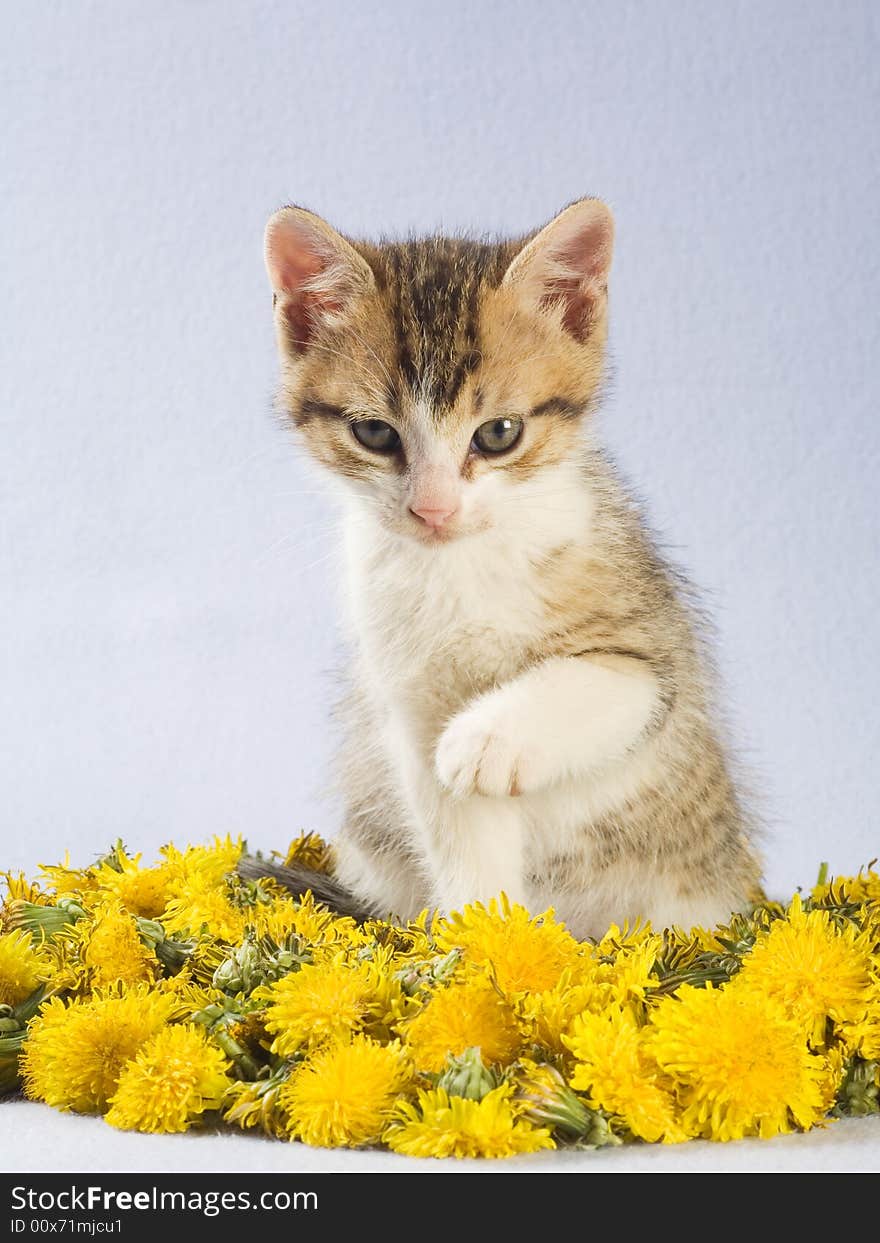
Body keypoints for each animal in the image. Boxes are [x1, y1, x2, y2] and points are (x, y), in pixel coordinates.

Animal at [241, 196, 760, 934]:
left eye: (498, 434)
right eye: (374, 433)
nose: (433, 509)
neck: (460, 569)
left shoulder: (657, 658)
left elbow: (601, 680)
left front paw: (487, 739)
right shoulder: (410, 704)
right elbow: (459, 831)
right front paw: (483, 935)